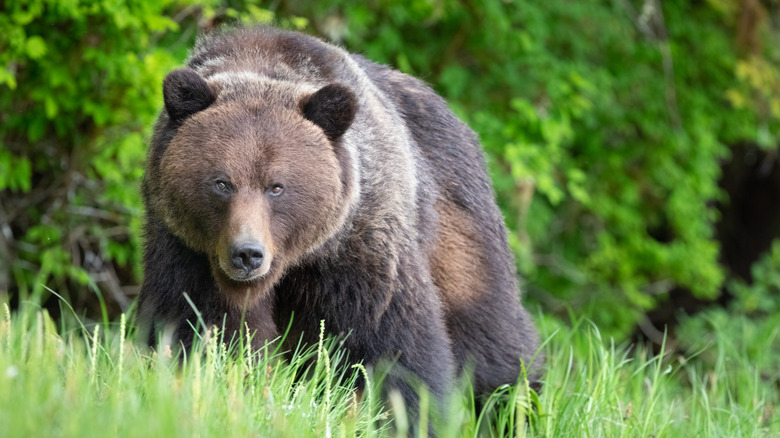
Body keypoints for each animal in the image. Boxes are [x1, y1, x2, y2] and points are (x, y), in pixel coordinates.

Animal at [138, 25, 542, 415]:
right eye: (222, 182)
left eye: (277, 186)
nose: (247, 254)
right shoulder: (187, 248)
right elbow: (201, 326)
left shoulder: (359, 242)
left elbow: (391, 343)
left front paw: (407, 412)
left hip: (457, 221)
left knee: (490, 335)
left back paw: (517, 405)